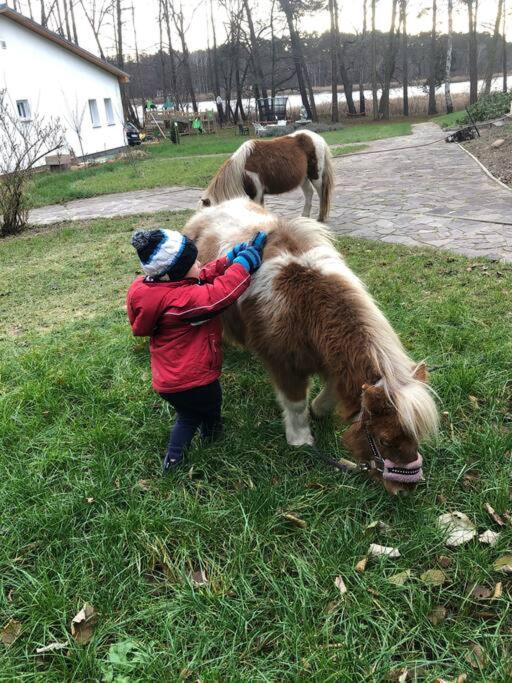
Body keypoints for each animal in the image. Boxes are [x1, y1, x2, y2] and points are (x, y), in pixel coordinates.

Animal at [182, 199, 438, 496]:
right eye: (384, 439)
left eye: (416, 436)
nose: (405, 489)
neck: (305, 306)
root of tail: (210, 209)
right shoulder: (284, 364)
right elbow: (295, 404)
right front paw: (301, 441)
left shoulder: (332, 363)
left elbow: (330, 394)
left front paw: (317, 410)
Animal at [198, 130, 334, 223]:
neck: (241, 169)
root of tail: (317, 137)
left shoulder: (257, 193)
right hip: (303, 178)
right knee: (309, 193)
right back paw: (304, 217)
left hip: (315, 176)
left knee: (321, 193)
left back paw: (320, 218)